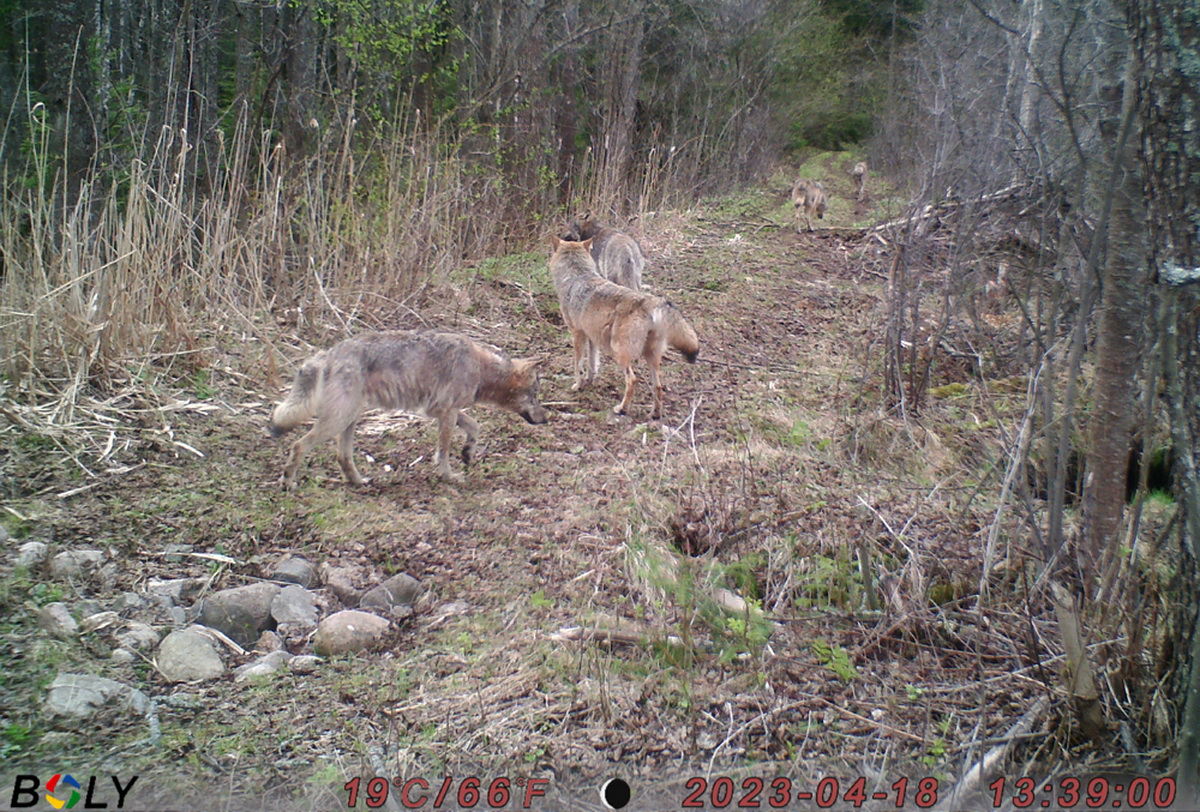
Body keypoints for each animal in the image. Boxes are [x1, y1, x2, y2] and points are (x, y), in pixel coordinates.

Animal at [270, 328, 547, 486]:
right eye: (535, 395)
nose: (545, 419)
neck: (481, 368)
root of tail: (328, 353)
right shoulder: (446, 413)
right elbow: (443, 452)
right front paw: (449, 477)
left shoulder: (441, 411)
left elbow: (475, 427)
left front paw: (468, 453)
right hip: (337, 420)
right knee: (298, 445)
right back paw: (288, 482)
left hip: (349, 420)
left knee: (342, 456)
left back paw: (359, 482)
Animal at [549, 231, 700, 414]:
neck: (576, 276)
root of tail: (649, 302)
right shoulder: (592, 337)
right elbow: (592, 364)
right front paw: (589, 380)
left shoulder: (577, 334)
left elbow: (578, 364)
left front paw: (578, 385)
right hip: (650, 356)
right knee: (658, 386)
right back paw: (655, 414)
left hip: (620, 353)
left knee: (632, 380)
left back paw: (621, 409)